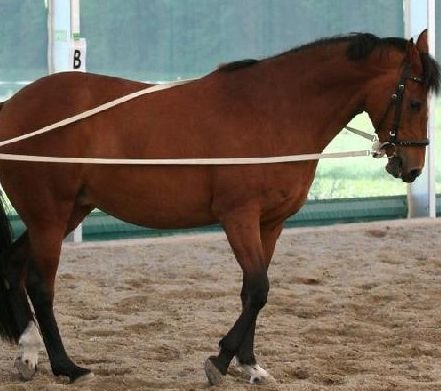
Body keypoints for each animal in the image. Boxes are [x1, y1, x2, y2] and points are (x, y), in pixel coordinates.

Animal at [0, 30, 438, 386]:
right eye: (416, 102)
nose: (412, 168)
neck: (274, 110)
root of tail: (13, 107)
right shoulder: (238, 217)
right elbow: (258, 289)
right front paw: (221, 360)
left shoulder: (270, 224)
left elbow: (252, 291)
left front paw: (249, 364)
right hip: (49, 215)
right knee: (40, 284)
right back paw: (66, 366)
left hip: (66, 213)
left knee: (15, 266)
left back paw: (28, 352)